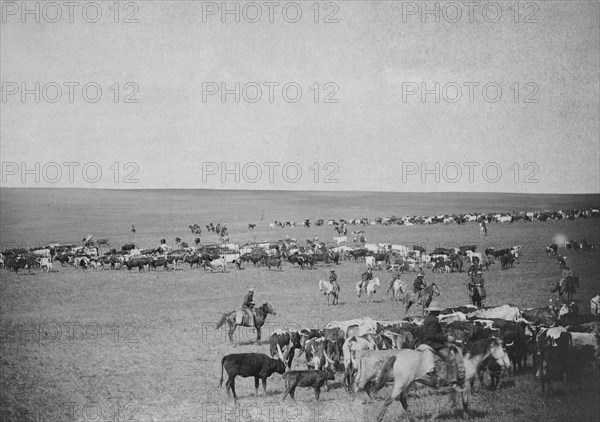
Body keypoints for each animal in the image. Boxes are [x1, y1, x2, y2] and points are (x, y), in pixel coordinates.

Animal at [376, 336, 506, 422]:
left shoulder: (457, 386)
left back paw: (413, 419)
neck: (468, 359)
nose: (503, 364)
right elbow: (464, 402)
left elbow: (453, 402)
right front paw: (466, 418)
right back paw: (379, 418)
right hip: (401, 384)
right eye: (501, 349)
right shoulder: (466, 384)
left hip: (408, 383)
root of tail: (397, 357)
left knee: (403, 400)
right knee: (389, 400)